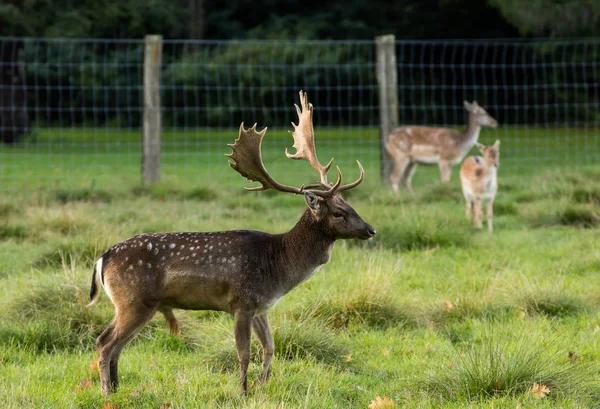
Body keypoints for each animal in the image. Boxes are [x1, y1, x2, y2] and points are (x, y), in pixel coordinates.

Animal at [88, 90, 376, 396]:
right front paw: (243, 391)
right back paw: (106, 392)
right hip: (133, 300)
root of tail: (103, 258)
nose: (371, 230)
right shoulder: (241, 302)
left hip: (135, 304)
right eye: (338, 212)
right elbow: (244, 352)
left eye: (350, 205)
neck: (279, 264)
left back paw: (117, 389)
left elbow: (270, 347)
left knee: (115, 345)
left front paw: (262, 385)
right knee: (104, 343)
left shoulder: (262, 306)